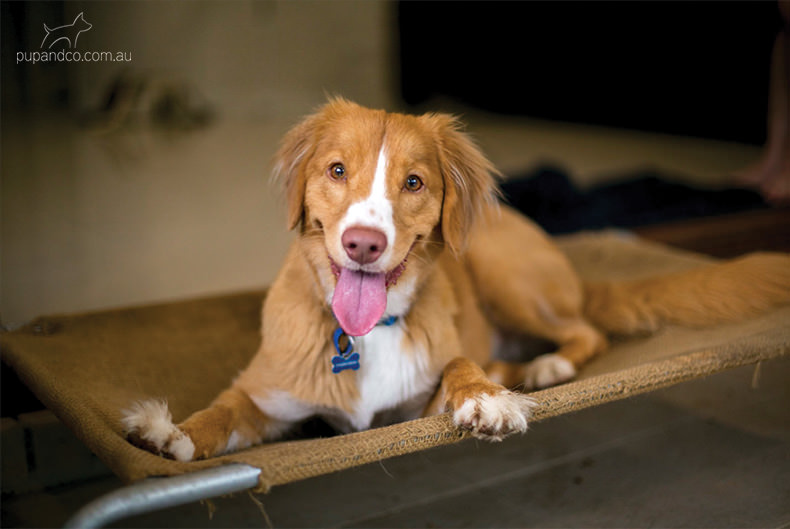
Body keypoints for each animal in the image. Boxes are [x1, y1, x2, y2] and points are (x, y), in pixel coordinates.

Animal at [122, 97, 790, 460]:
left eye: (414, 182)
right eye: (336, 170)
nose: (363, 243)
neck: (366, 334)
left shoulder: (422, 395)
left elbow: (459, 366)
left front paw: (486, 401)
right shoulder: (264, 395)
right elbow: (221, 412)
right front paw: (173, 433)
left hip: (507, 277)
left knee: (584, 331)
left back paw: (541, 367)